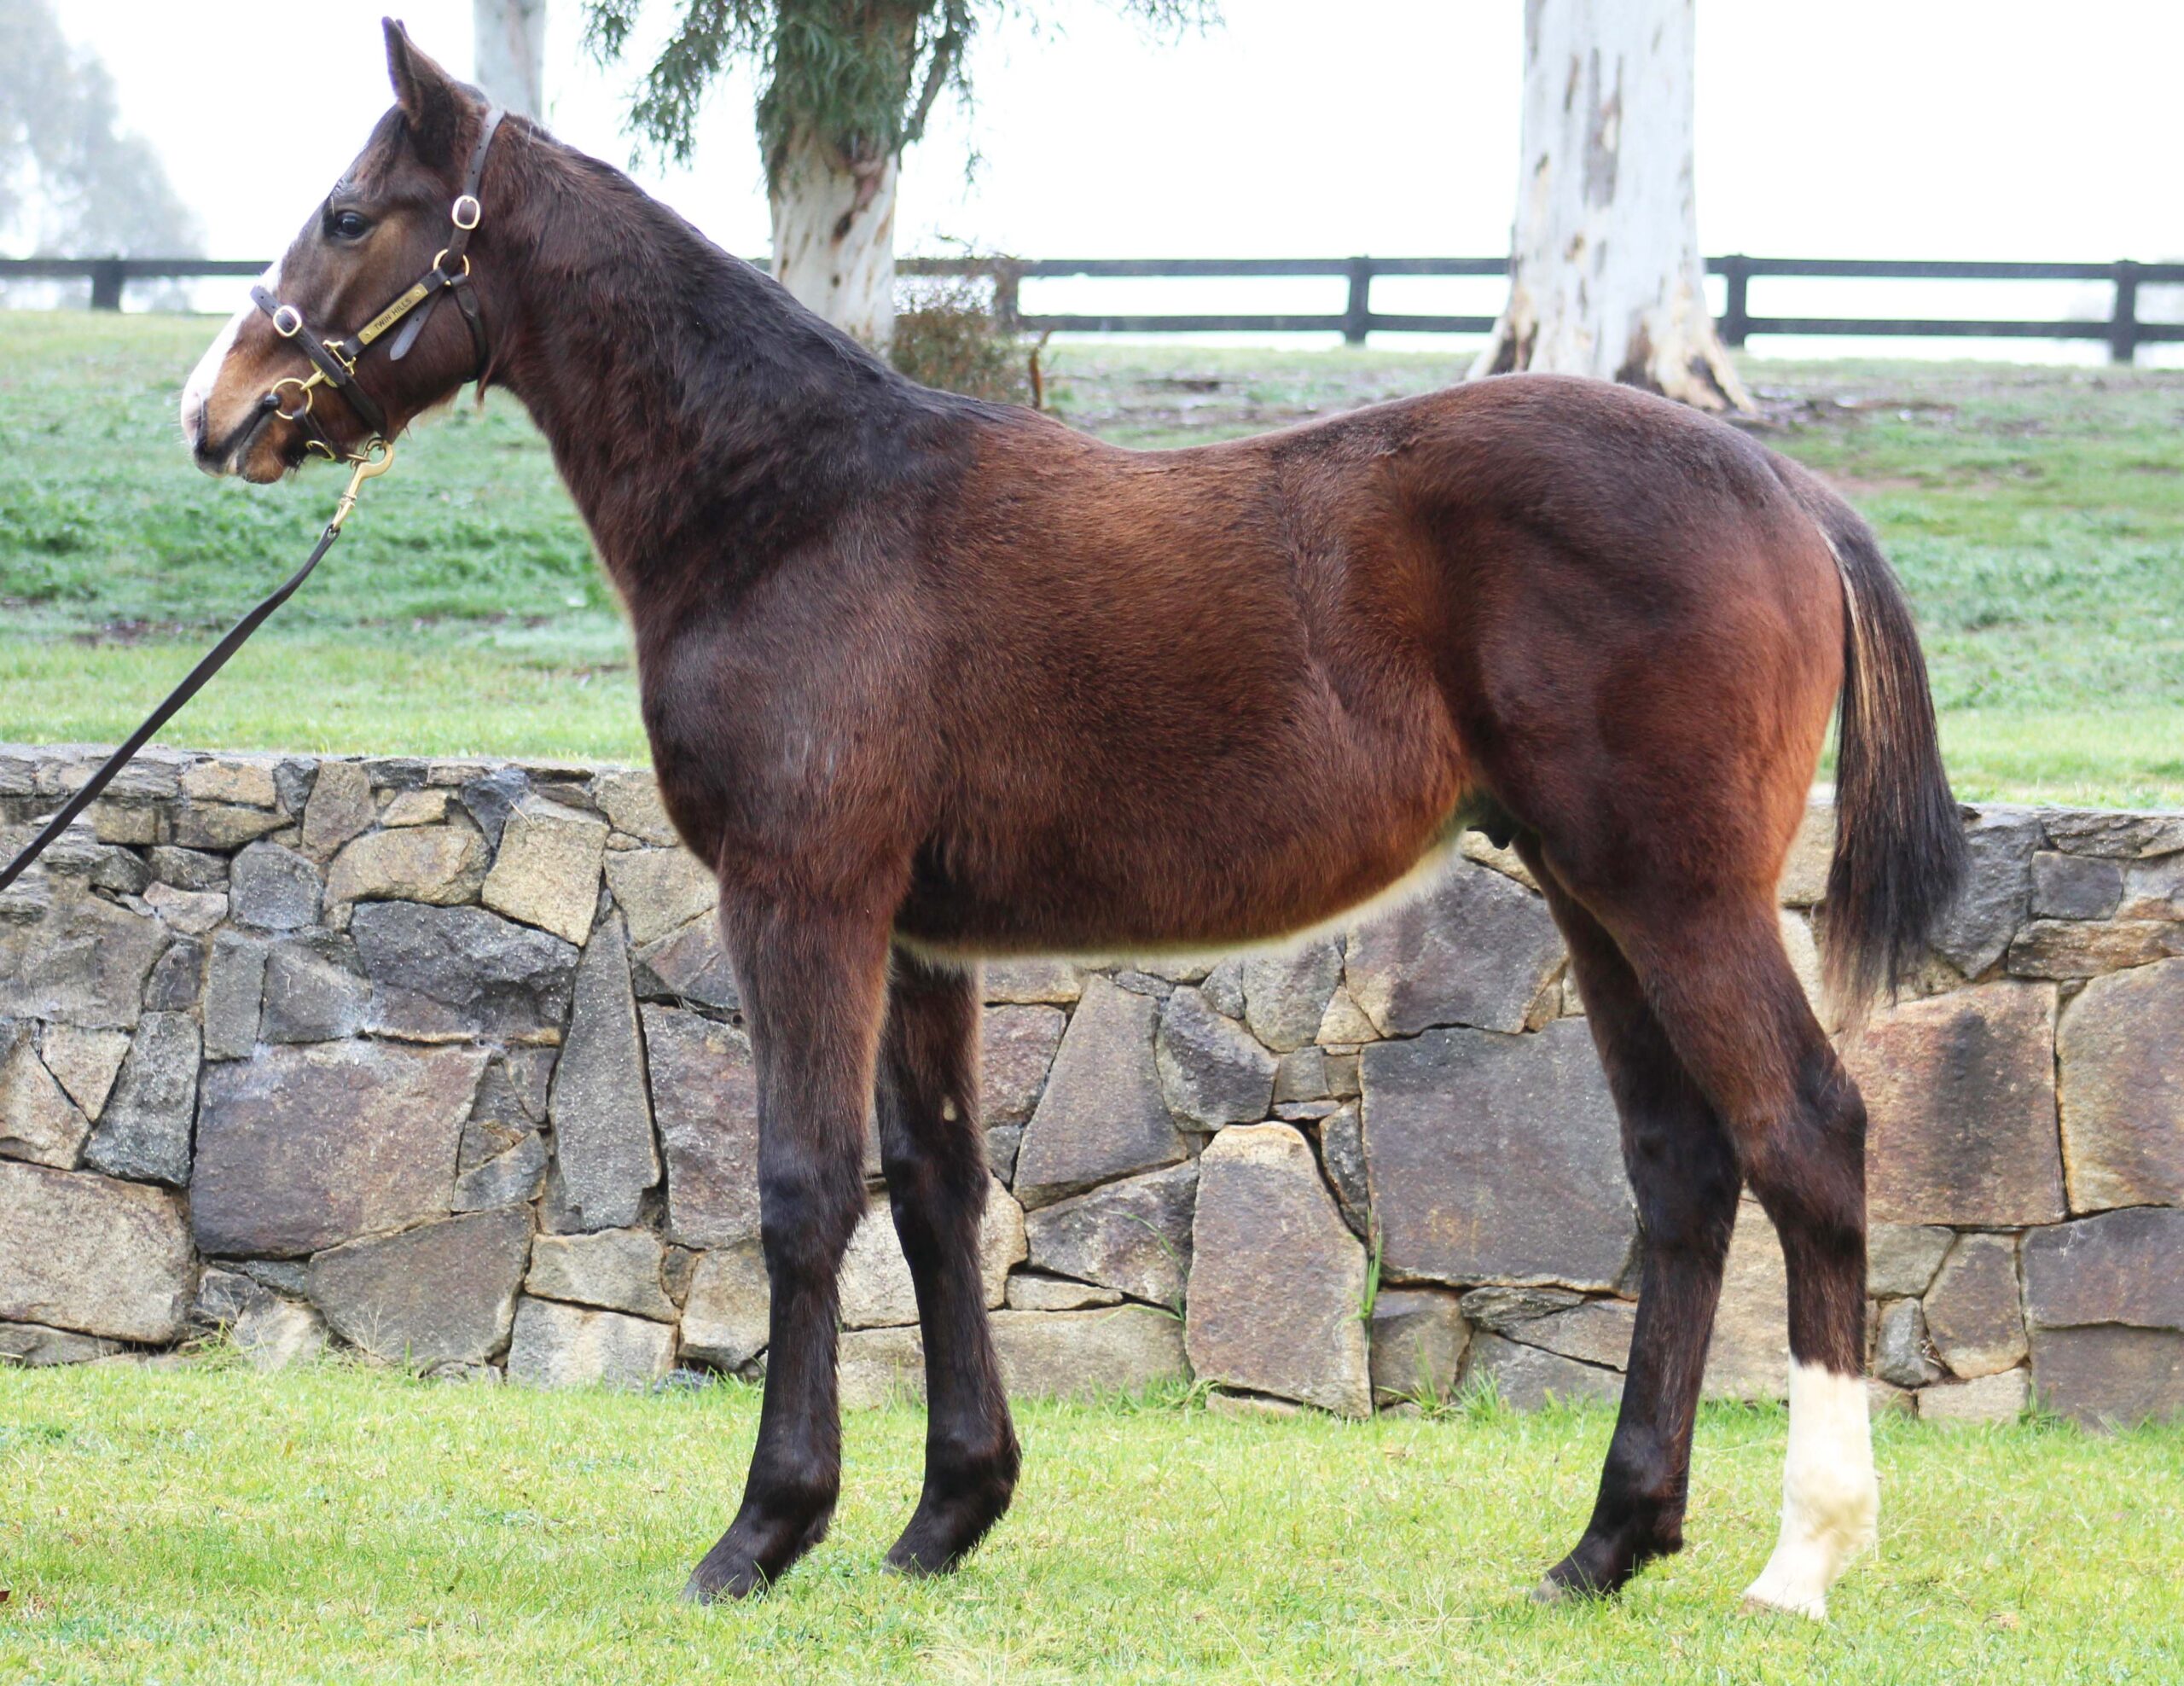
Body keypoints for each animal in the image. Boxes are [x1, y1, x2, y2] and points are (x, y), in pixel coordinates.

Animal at [180, 21, 1964, 1619]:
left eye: (350, 214)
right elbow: (935, 1186)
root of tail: (1787, 489)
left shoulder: (802, 896)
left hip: (1680, 895)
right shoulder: (917, 933)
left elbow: (804, 1188)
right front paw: (943, 1517)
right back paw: (1607, 1543)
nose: (217, 409)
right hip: (1598, 899)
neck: (792, 504)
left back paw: (1803, 1557)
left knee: (1809, 1136)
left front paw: (763, 1533)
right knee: (1683, 1169)